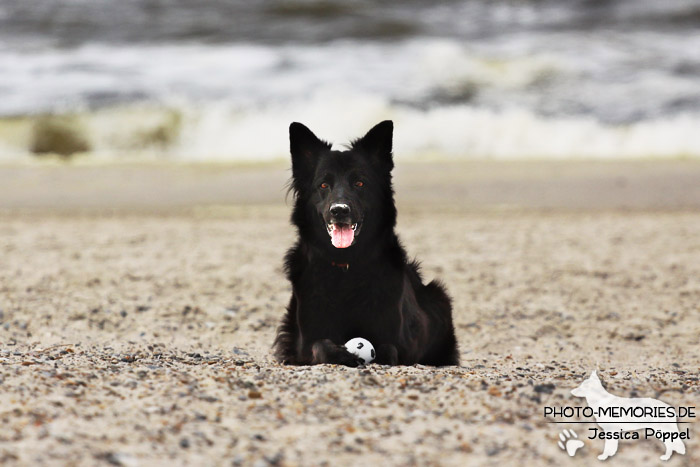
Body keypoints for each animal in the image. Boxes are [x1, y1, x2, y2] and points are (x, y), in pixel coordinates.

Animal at [274, 119, 460, 366]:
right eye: (323, 185)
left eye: (359, 183)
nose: (339, 211)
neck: (346, 268)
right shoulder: (305, 343)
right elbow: (320, 346)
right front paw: (341, 354)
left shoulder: (398, 339)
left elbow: (389, 349)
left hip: (439, 297)